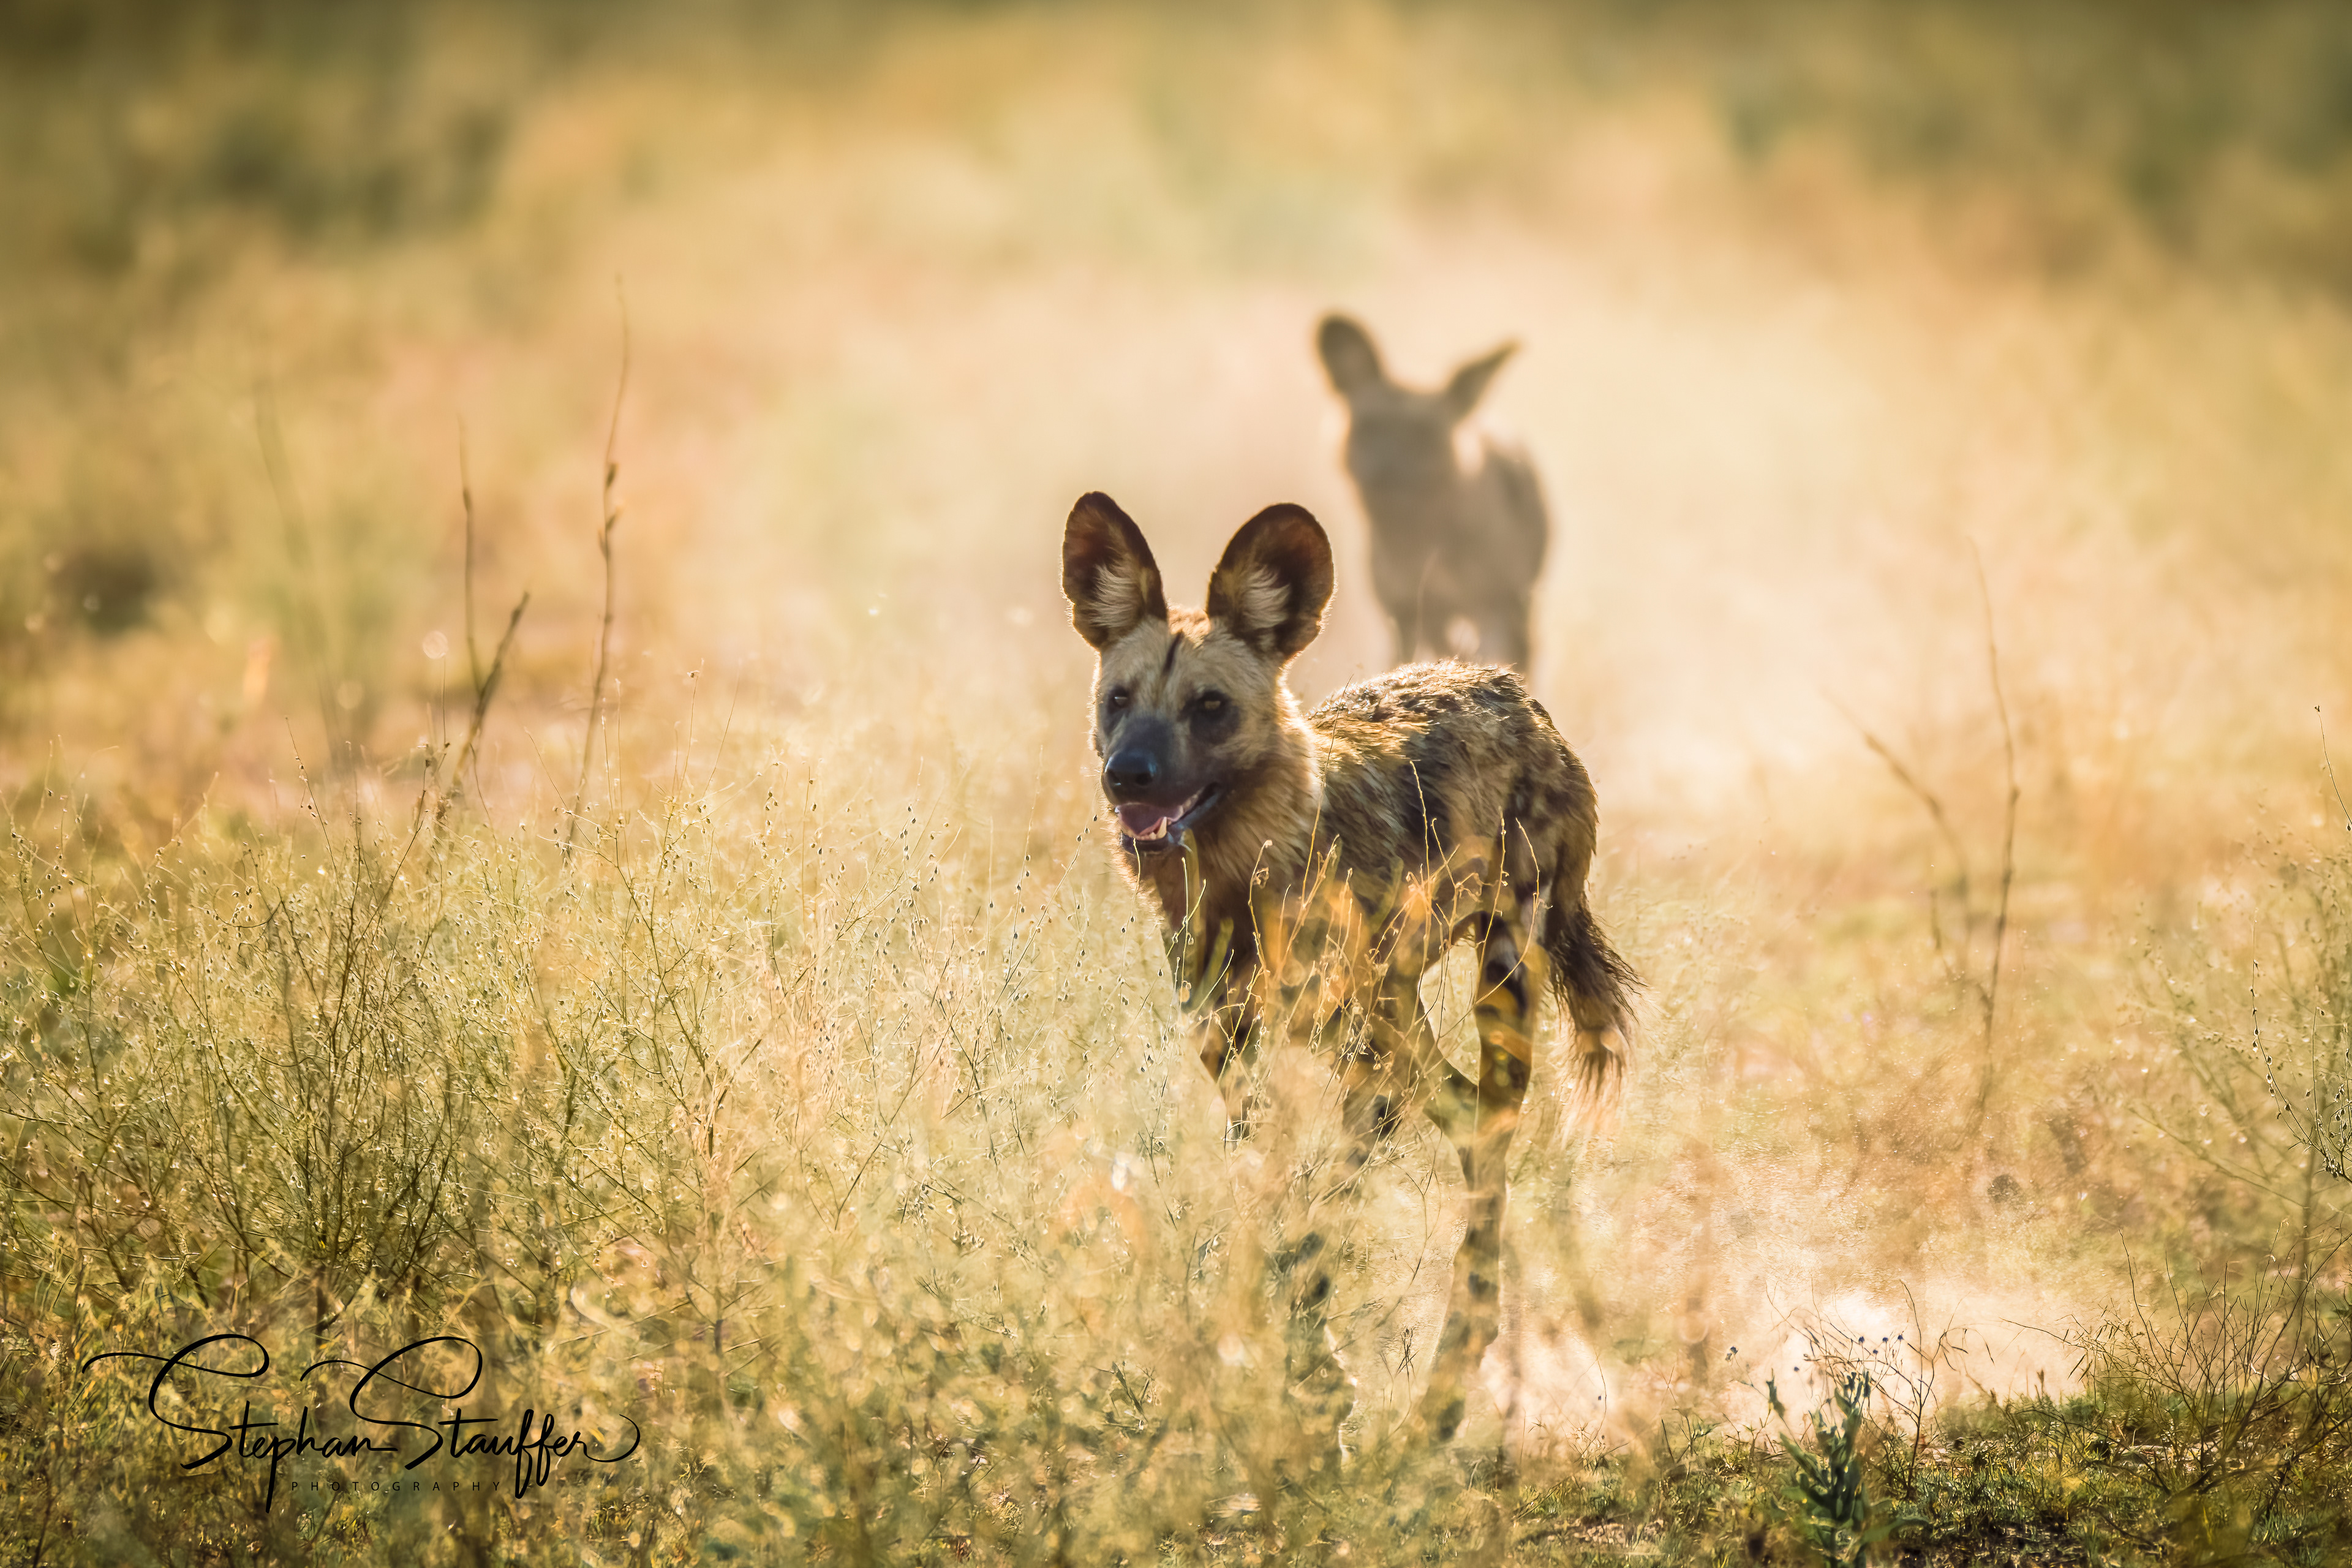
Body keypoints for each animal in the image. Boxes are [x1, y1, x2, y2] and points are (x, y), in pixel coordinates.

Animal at [1061, 491, 1635, 1453]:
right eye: (1118, 700)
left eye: (1209, 707)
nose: (1127, 776)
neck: (1251, 873)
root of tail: (1510, 689)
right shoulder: (1236, 1063)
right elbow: (1276, 1213)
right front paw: (1310, 1382)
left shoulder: (1369, 1077)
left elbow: (1314, 1222)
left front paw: (1320, 1387)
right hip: (1410, 1035)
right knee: (1471, 1132)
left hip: (1490, 992)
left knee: (1490, 1146)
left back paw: (1451, 1380)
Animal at [1317, 314, 1549, 670]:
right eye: (1369, 426)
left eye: (1424, 433)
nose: (1385, 471)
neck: (1418, 540)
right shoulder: (1411, 611)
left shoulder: (1493, 604)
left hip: (1509, 609)